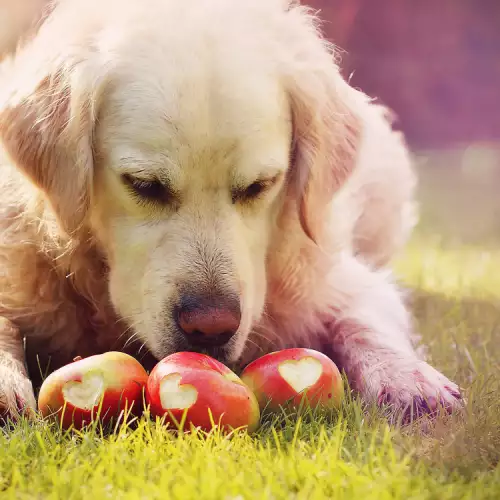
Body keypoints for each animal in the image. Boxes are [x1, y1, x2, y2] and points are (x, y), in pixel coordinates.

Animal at [0, 0, 462, 422]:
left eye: (260, 186)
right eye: (144, 185)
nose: (211, 327)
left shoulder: (338, 280)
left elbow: (363, 320)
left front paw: (407, 378)